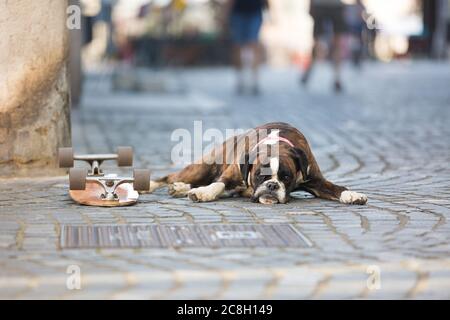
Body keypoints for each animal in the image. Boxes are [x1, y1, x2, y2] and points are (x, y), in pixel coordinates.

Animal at [149, 122, 368, 205]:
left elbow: (336, 188)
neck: (277, 143)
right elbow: (218, 183)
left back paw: (180, 188)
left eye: (286, 177)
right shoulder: (231, 173)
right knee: (170, 177)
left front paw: (352, 194)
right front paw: (204, 193)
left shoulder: (316, 180)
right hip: (202, 167)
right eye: (259, 176)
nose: (272, 185)